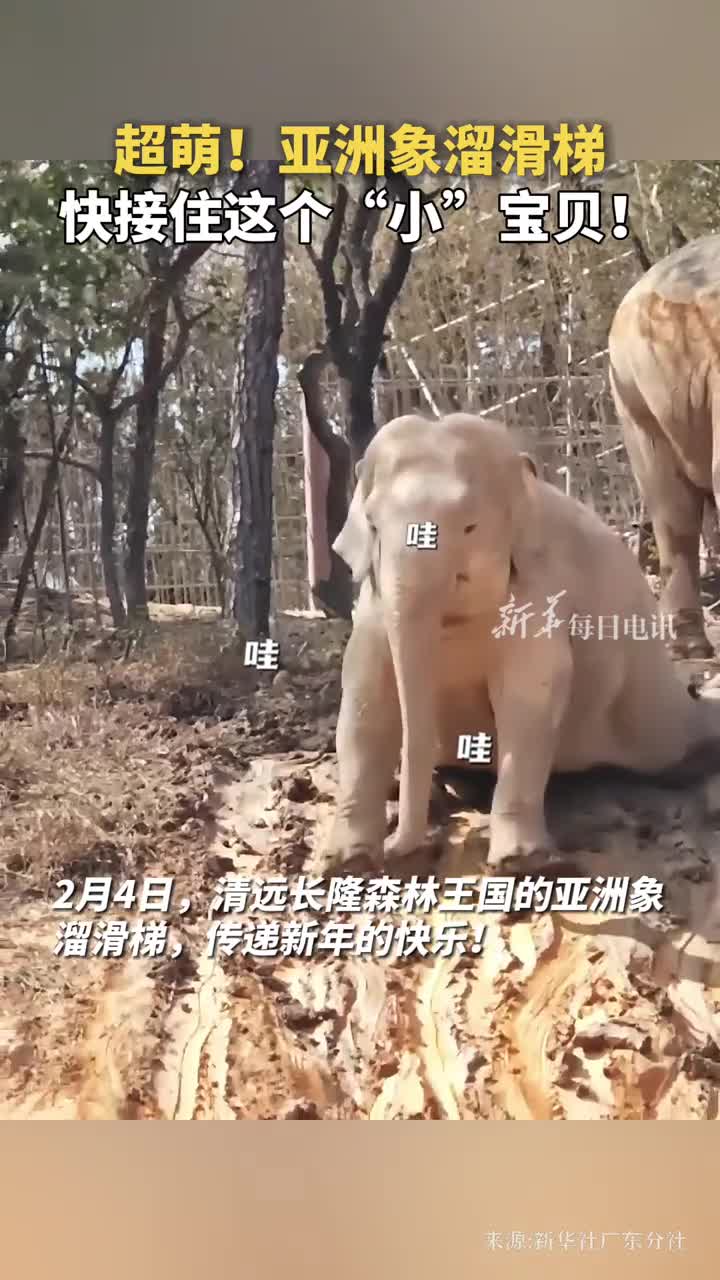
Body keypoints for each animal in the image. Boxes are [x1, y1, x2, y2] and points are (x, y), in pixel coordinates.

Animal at [325, 412, 720, 871]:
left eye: (470, 526)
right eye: (372, 525)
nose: (396, 849)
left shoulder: (540, 596)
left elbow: (527, 703)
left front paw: (521, 861)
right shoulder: (372, 610)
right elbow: (364, 704)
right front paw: (346, 860)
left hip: (651, 710)